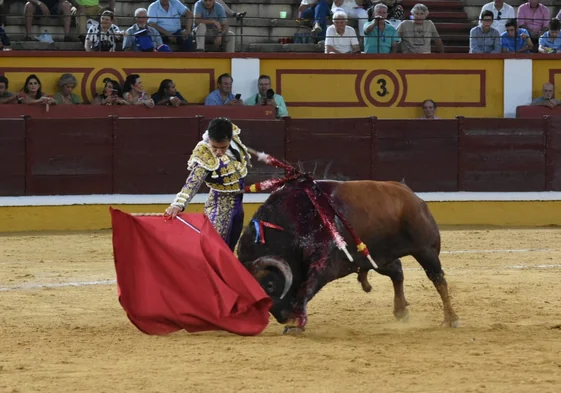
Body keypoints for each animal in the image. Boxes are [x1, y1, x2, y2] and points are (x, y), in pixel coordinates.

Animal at [236, 178, 460, 334]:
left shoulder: (323, 266)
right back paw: (401, 311)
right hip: (378, 256)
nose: (282, 317)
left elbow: (305, 290)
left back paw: (451, 318)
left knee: (438, 279)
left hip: (426, 250)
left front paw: (294, 324)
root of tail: (414, 197)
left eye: (270, 285)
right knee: (397, 272)